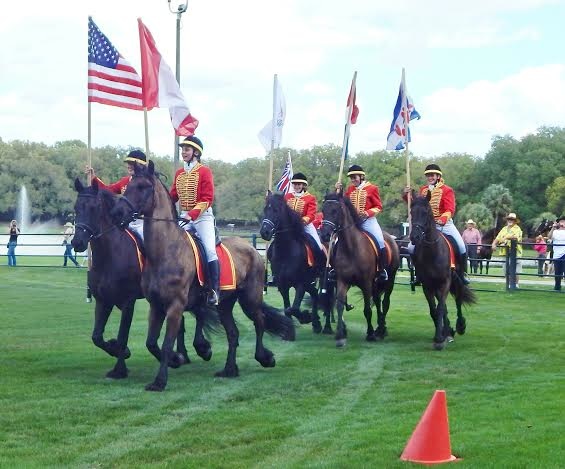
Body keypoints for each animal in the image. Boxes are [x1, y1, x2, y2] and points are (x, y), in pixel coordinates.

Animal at [70, 177, 212, 378]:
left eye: (93, 208)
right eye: (76, 207)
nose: (77, 242)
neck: (110, 255)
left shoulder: (127, 302)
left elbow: (122, 336)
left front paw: (120, 368)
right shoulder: (103, 300)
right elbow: (97, 337)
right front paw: (118, 351)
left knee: (198, 313)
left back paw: (198, 349)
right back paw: (182, 354)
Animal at [258, 193, 330, 332]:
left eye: (276, 210)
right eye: (265, 209)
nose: (264, 232)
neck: (286, 251)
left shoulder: (300, 284)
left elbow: (294, 308)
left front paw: (305, 317)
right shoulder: (283, 285)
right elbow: (287, 309)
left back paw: (326, 326)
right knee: (314, 294)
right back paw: (316, 323)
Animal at [408, 192, 474, 350]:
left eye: (426, 212)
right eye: (412, 212)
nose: (414, 237)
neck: (432, 251)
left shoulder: (445, 282)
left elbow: (440, 308)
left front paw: (439, 339)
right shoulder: (427, 285)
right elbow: (434, 309)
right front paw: (442, 334)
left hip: (456, 280)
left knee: (458, 299)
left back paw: (460, 326)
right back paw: (448, 330)